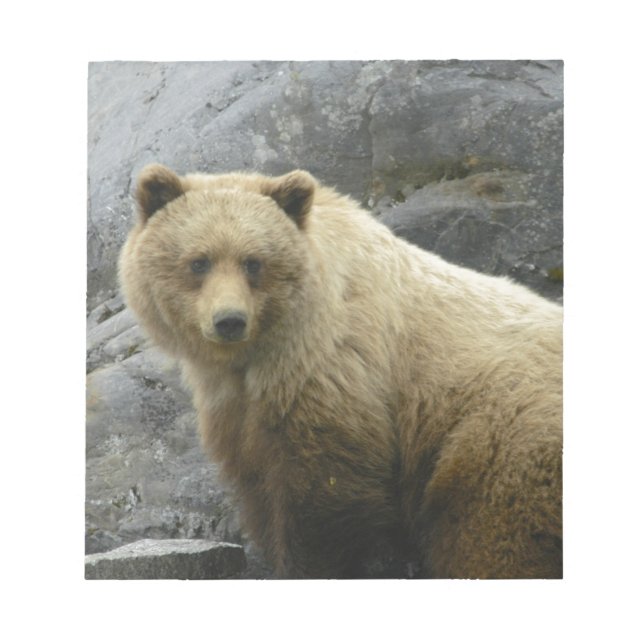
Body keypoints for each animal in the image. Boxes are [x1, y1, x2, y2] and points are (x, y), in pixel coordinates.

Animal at [119, 163, 563, 579]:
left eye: (253, 262)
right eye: (199, 261)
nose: (230, 320)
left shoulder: (333, 370)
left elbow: (323, 496)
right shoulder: (238, 407)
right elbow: (258, 482)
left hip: (499, 438)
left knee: (492, 539)